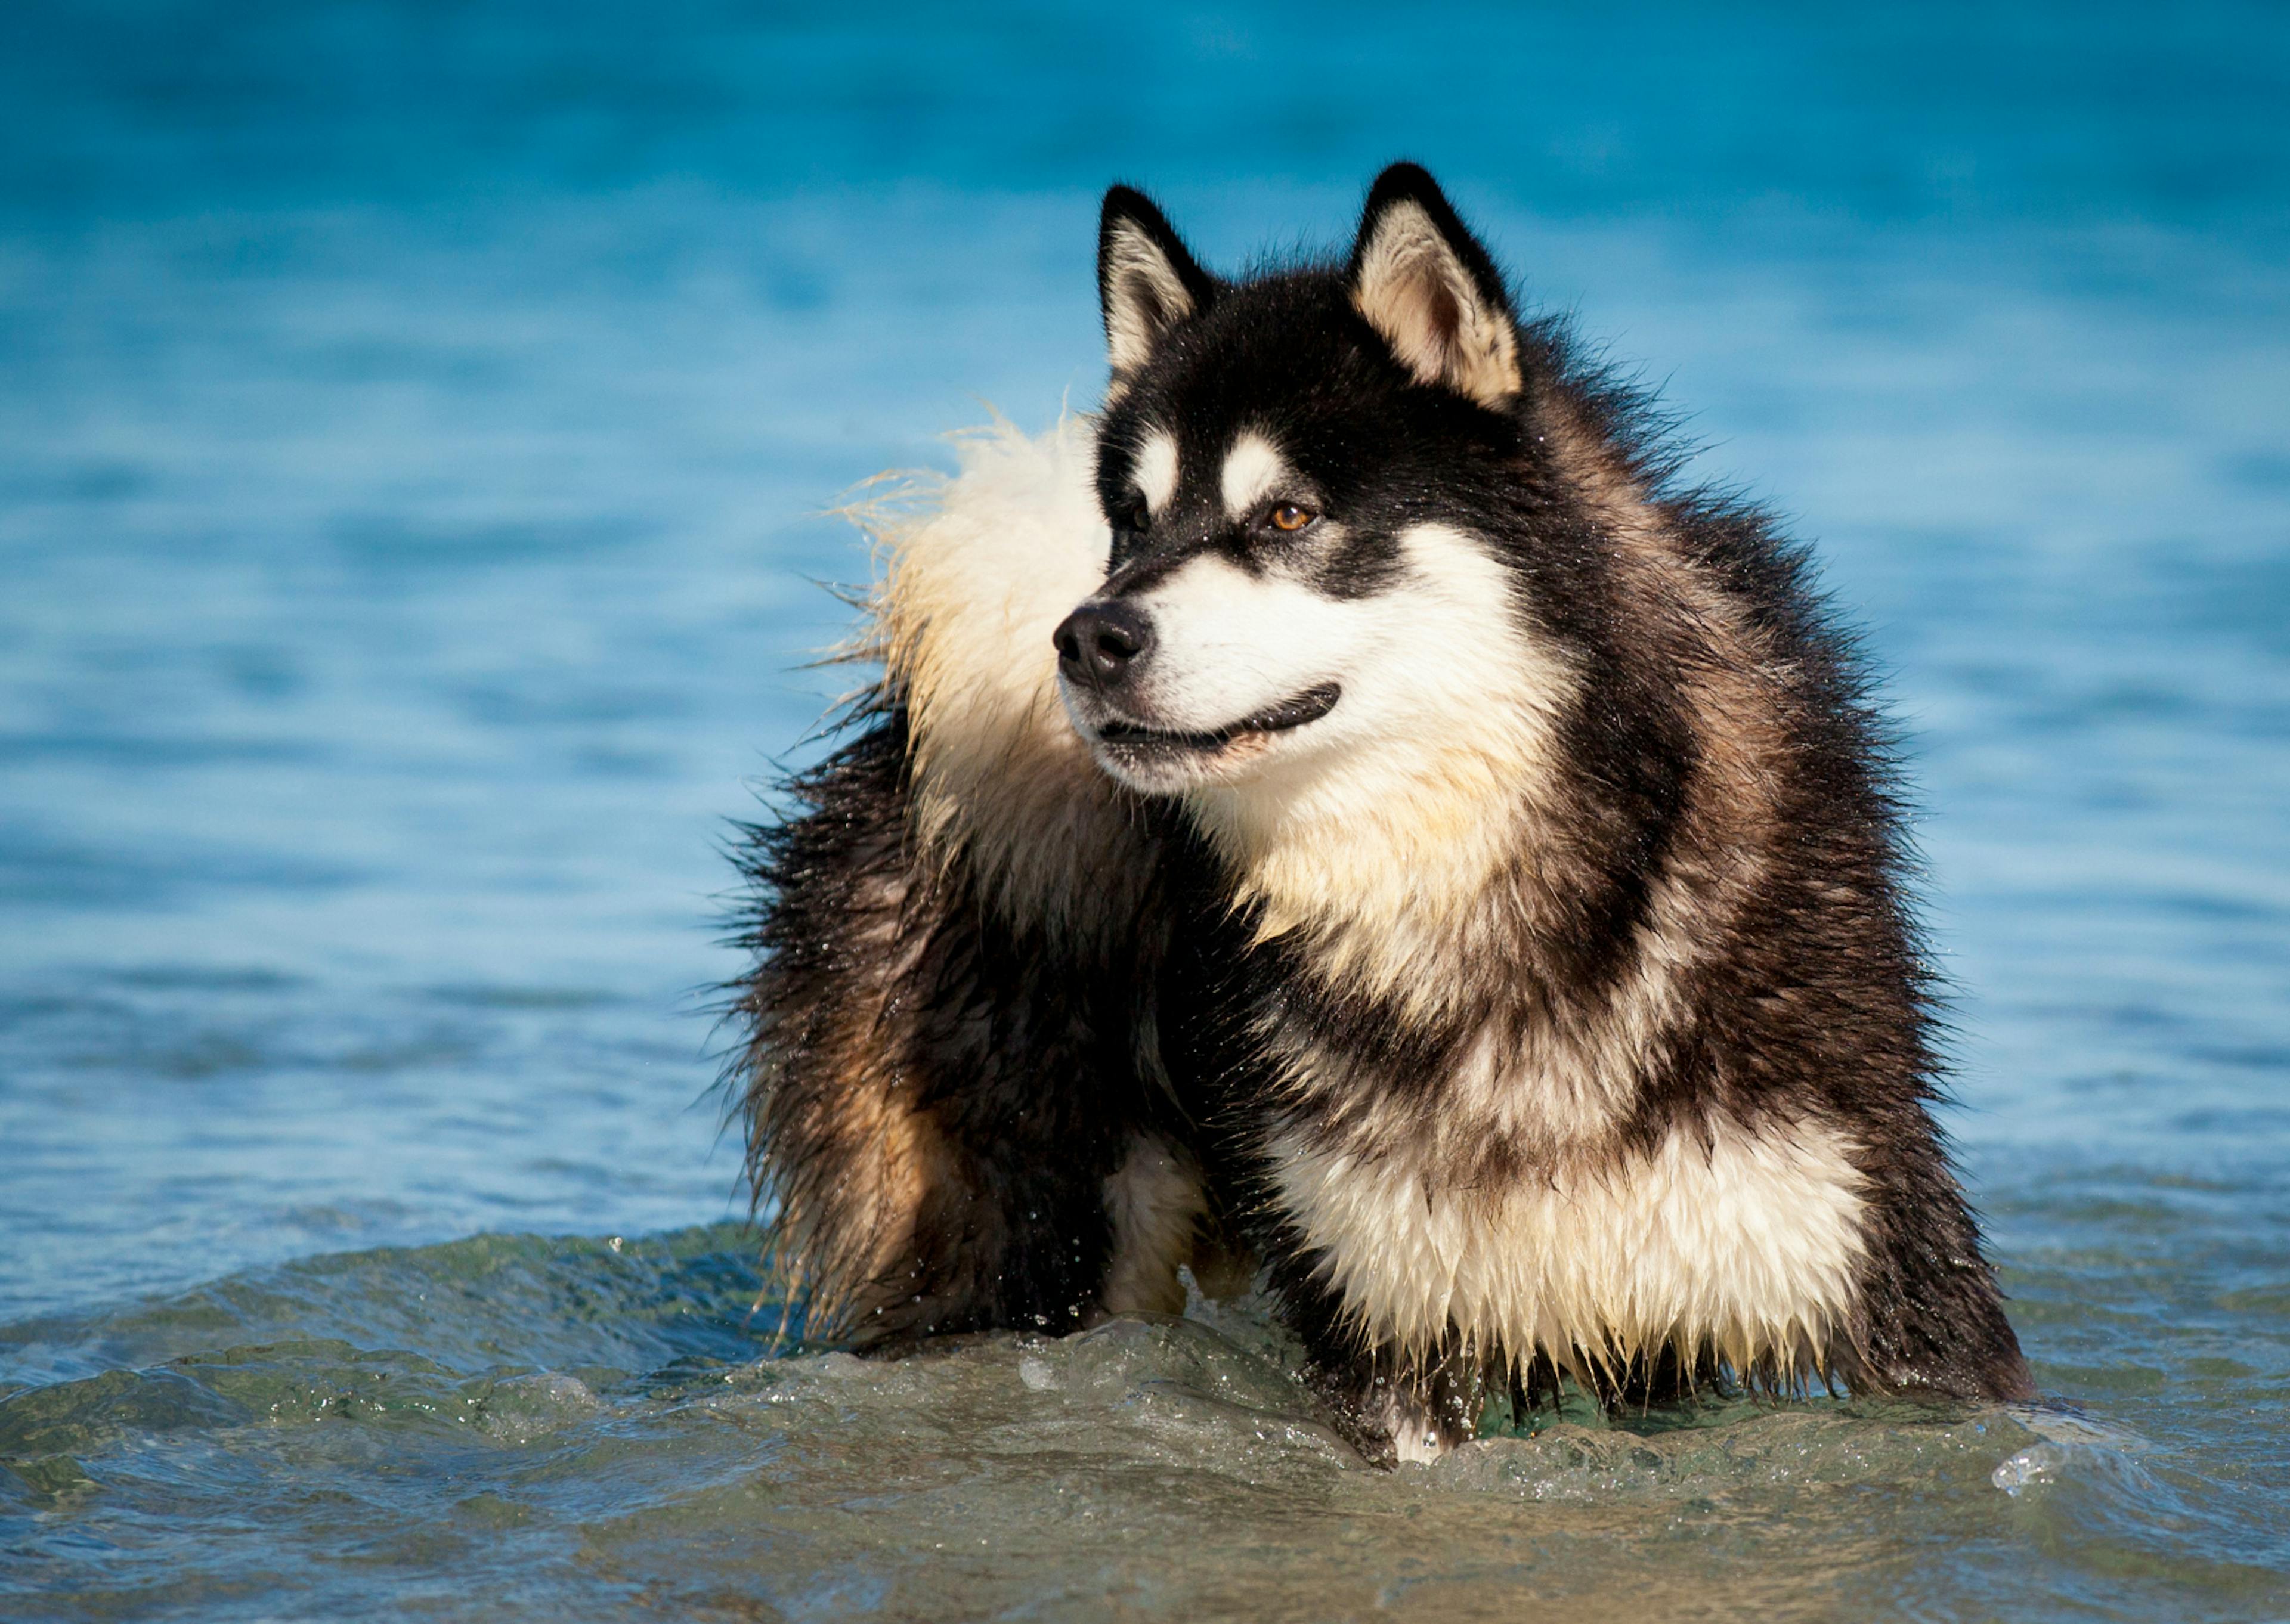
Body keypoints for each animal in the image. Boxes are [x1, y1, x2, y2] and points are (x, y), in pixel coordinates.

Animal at [723, 168, 2033, 1465]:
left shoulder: (1873, 1265)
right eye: (1134, 522)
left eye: (1289, 517)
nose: (1089, 637)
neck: (1467, 897)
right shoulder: (1383, 1322)